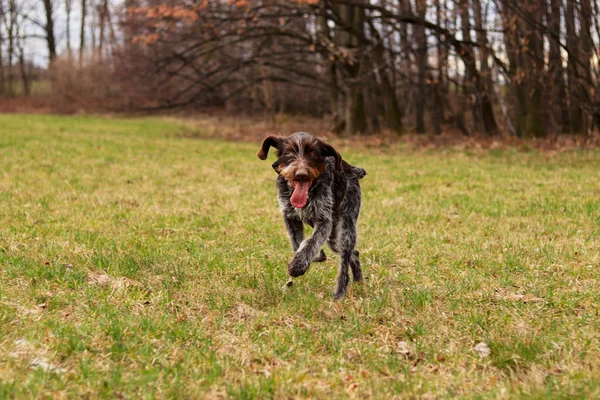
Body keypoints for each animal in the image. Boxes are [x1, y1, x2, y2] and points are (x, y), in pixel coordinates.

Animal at [256, 132, 366, 300]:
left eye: (313, 153)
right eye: (289, 153)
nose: (301, 175)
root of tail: (353, 170)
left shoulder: (324, 221)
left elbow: (312, 242)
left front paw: (298, 265)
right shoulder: (290, 217)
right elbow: (297, 242)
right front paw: (314, 256)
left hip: (346, 229)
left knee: (345, 261)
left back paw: (340, 293)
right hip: (334, 238)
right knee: (354, 253)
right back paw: (359, 280)